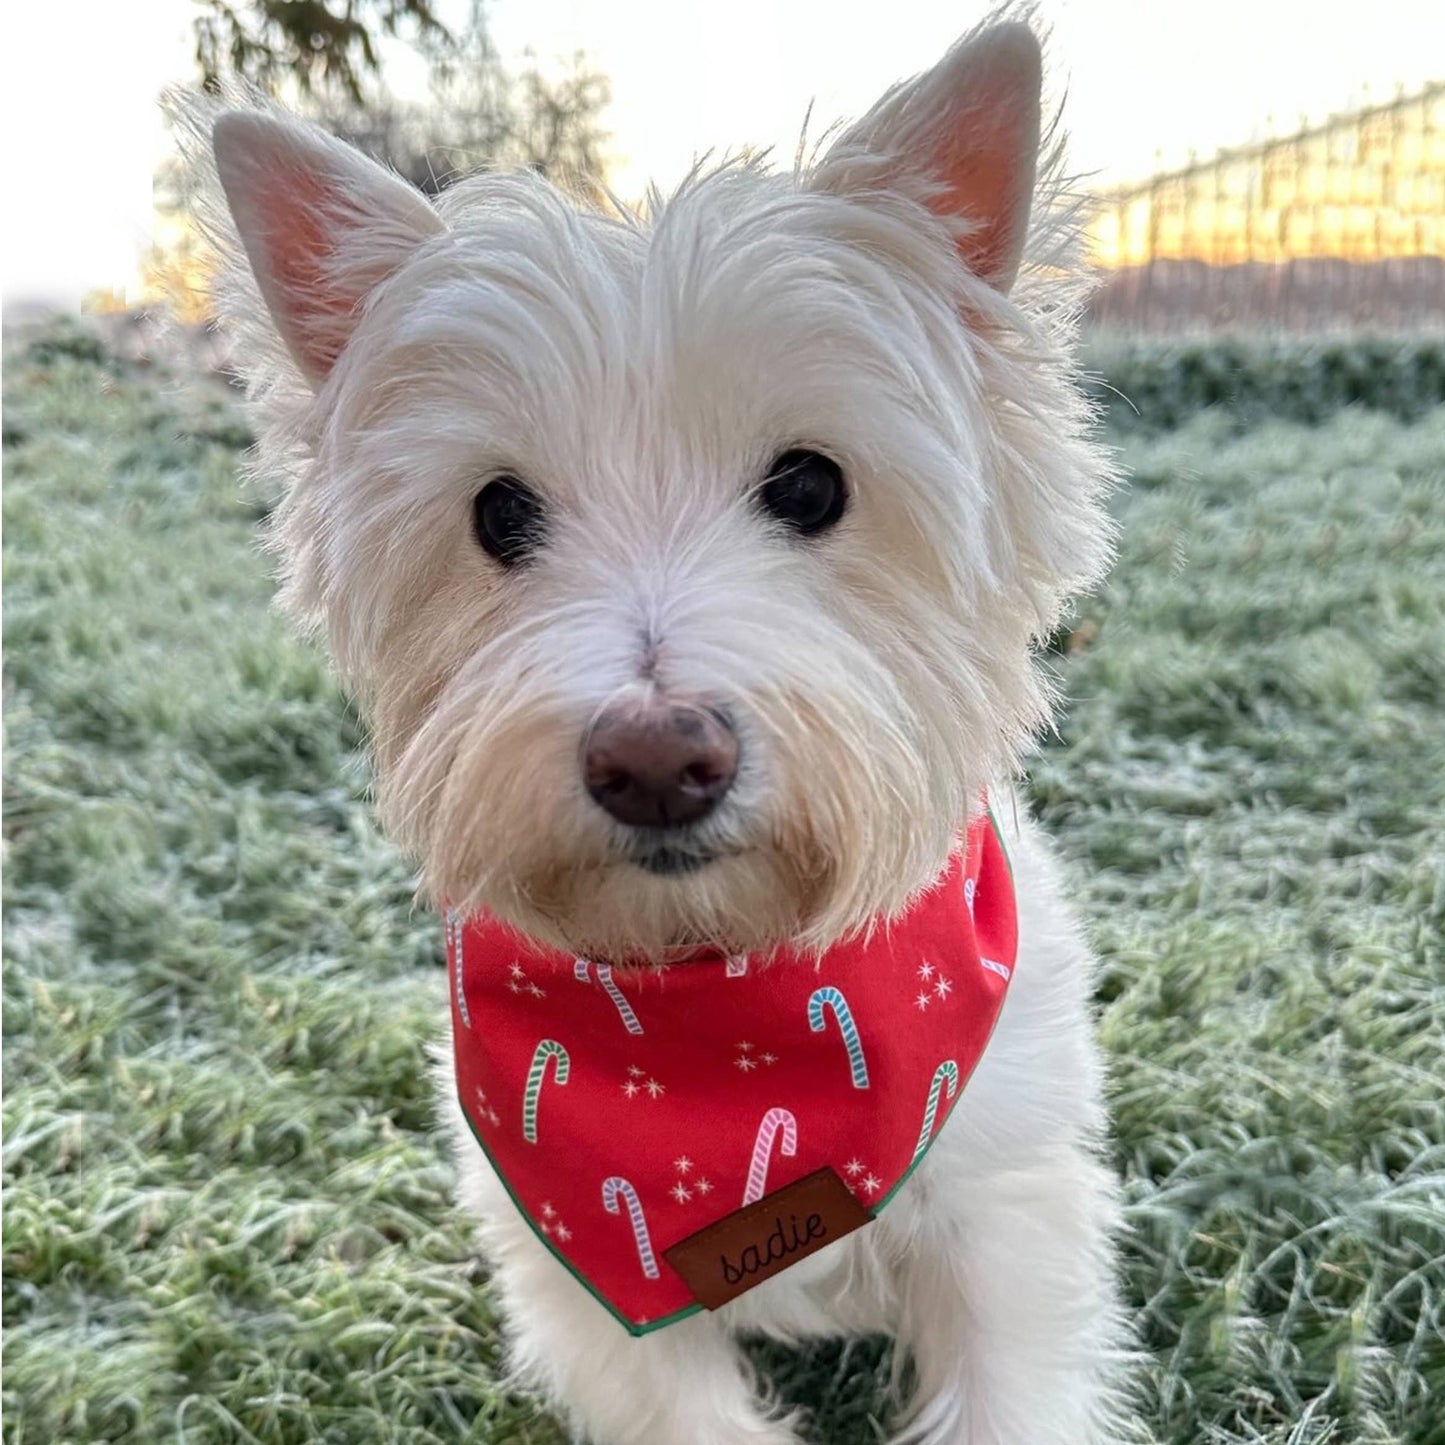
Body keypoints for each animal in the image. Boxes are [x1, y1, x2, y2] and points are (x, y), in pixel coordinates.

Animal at [192, 8, 1132, 1433]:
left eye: (809, 486)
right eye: (498, 513)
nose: (655, 759)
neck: (722, 1028)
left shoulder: (1003, 1214)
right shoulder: (586, 1292)